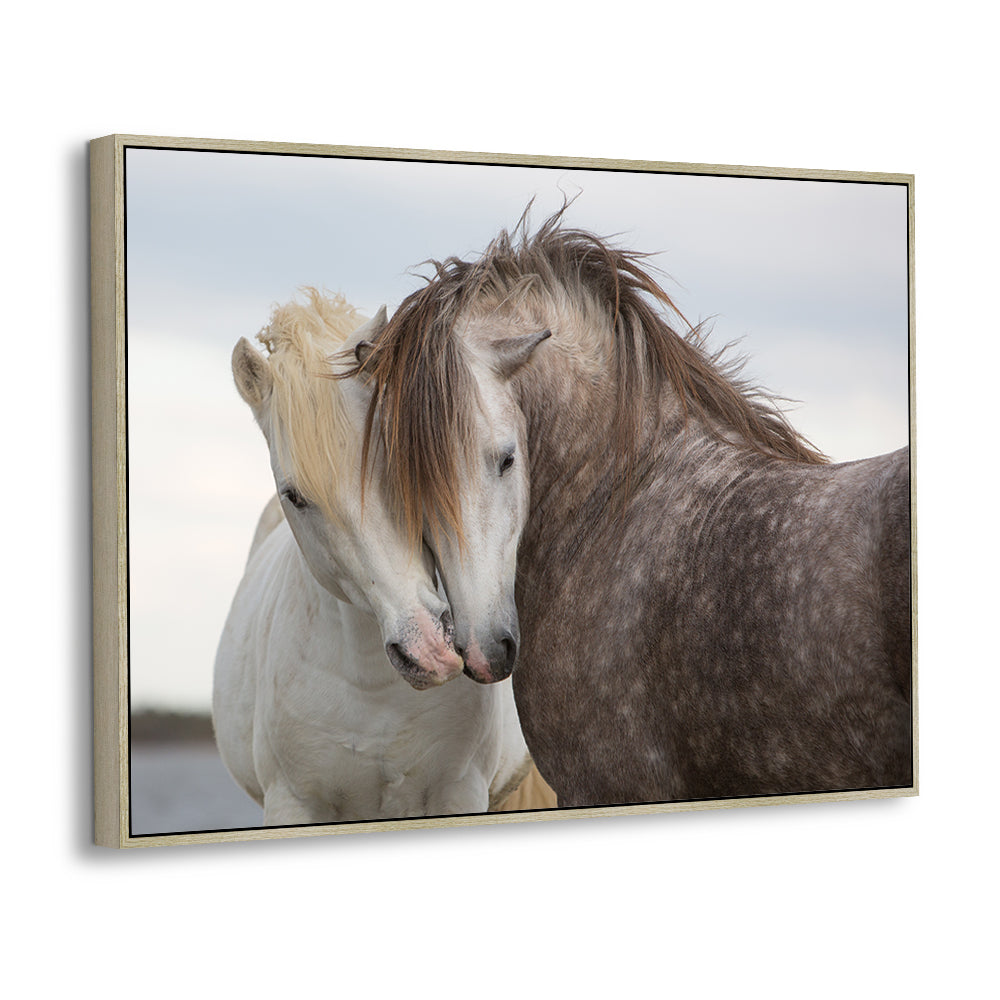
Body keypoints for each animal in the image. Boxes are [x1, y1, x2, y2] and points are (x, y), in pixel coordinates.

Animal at [212, 289, 533, 824]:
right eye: (294, 495)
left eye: (396, 456)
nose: (428, 648)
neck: (375, 691)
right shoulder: (292, 801)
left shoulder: (460, 792)